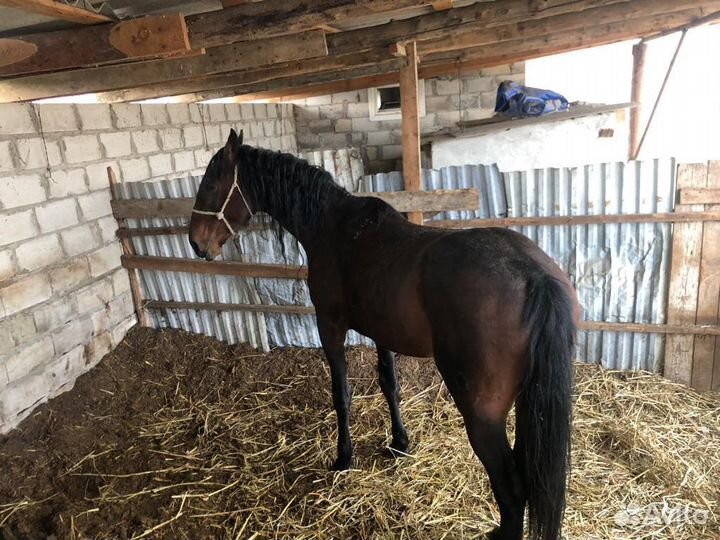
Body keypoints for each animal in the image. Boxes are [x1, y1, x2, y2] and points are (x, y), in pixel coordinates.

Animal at [189, 129, 578, 540]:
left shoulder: (330, 327)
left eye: (211, 184)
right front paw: (399, 443)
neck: (331, 225)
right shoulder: (382, 333)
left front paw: (344, 457)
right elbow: (389, 384)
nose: (195, 242)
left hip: (482, 416)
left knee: (512, 489)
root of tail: (534, 276)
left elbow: (342, 395)